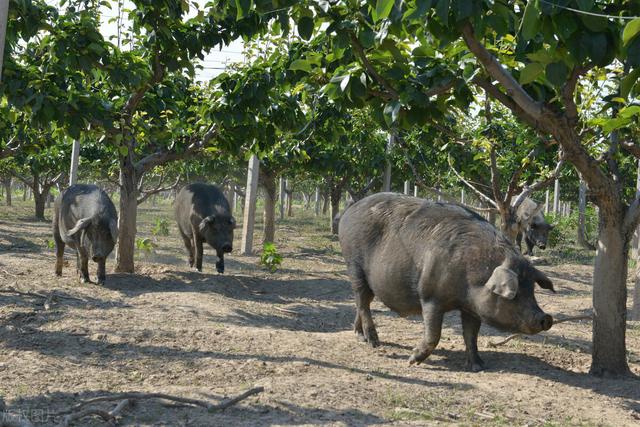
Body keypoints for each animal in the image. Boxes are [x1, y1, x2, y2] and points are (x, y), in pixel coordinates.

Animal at [340, 193, 556, 372]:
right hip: (354, 265)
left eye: (532, 289)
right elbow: (434, 334)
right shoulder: (430, 296)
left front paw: (478, 366)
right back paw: (374, 343)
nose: (546, 318)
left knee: (363, 302)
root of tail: (349, 211)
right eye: (516, 293)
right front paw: (411, 361)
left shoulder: (471, 308)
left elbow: (471, 335)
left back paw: (359, 336)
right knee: (362, 301)